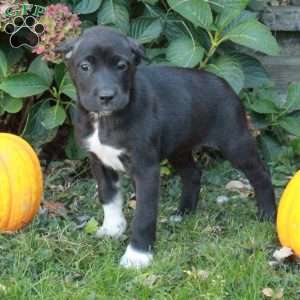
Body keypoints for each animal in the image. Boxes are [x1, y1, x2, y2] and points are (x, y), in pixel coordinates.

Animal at [54, 26, 276, 270]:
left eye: (122, 66)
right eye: (85, 67)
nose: (106, 96)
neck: (104, 120)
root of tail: (224, 82)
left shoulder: (146, 169)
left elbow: (144, 215)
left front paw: (138, 255)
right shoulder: (100, 162)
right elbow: (109, 197)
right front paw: (112, 228)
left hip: (235, 143)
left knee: (260, 173)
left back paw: (267, 214)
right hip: (179, 149)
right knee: (193, 173)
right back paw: (184, 213)